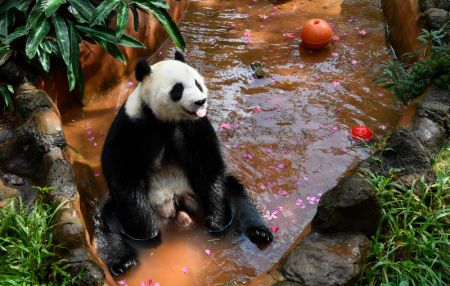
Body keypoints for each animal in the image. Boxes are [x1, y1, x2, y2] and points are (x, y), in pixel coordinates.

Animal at [96, 50, 272, 276]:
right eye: (177, 89)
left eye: (197, 83)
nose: (200, 101)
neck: (164, 121)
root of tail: (177, 210)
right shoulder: (131, 126)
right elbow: (123, 174)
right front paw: (149, 234)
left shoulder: (195, 125)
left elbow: (208, 164)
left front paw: (216, 223)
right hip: (126, 213)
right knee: (110, 222)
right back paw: (123, 261)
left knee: (236, 195)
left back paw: (258, 232)